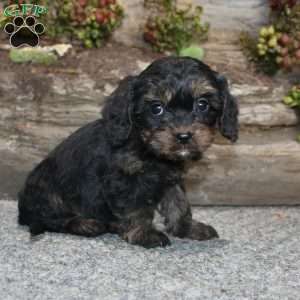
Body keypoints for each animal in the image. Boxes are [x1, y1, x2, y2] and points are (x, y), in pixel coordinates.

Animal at [18, 56, 239, 248]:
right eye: (156, 108)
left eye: (202, 104)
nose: (184, 136)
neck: (147, 148)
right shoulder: (123, 180)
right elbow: (135, 208)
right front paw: (144, 233)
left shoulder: (171, 179)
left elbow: (179, 203)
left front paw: (187, 228)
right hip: (46, 190)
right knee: (50, 219)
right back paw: (85, 224)